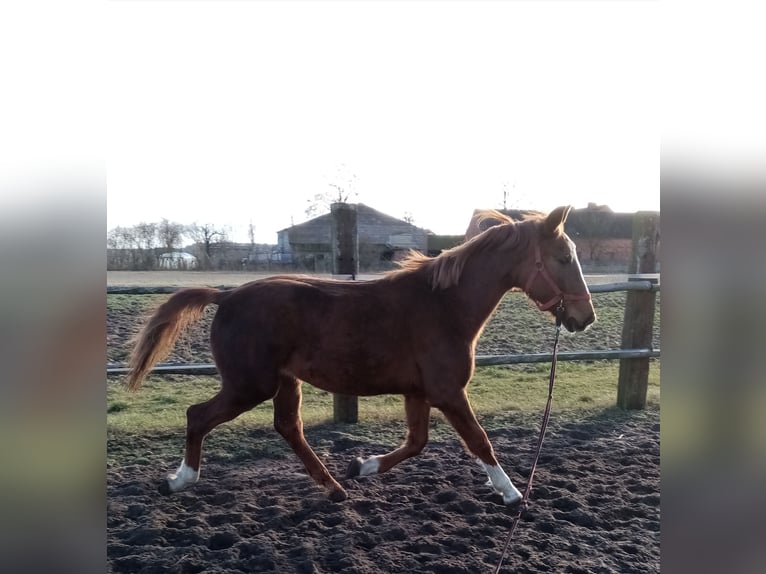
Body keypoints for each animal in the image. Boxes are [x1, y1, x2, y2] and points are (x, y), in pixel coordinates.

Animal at [126, 206, 596, 504]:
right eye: (563, 256)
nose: (585, 317)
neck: (443, 306)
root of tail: (225, 296)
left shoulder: (418, 392)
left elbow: (417, 443)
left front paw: (361, 465)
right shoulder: (448, 392)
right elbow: (479, 440)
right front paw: (512, 493)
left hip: (283, 382)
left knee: (288, 427)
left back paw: (335, 487)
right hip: (249, 385)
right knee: (198, 416)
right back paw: (179, 481)